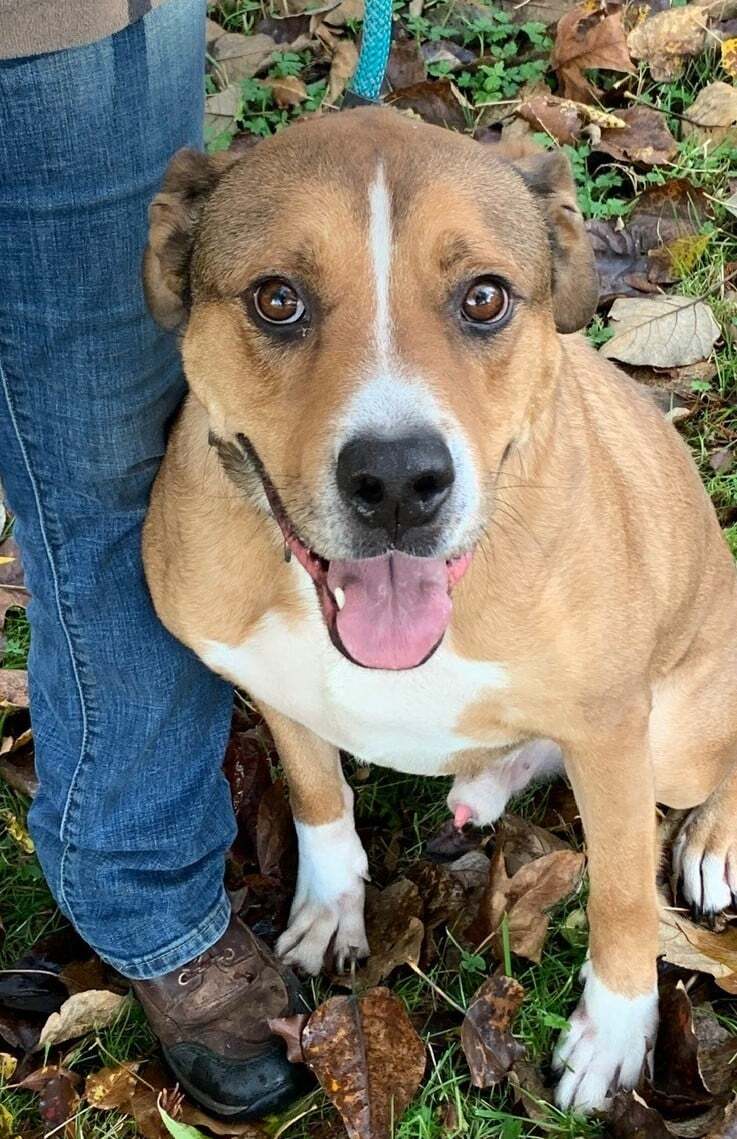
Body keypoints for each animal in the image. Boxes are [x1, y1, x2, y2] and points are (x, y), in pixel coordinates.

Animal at [141, 108, 737, 1111]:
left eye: (485, 298)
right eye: (275, 299)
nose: (395, 482)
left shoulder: (612, 728)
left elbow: (620, 892)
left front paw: (614, 1033)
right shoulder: (274, 687)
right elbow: (317, 794)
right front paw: (331, 903)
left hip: (676, 734)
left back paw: (710, 842)